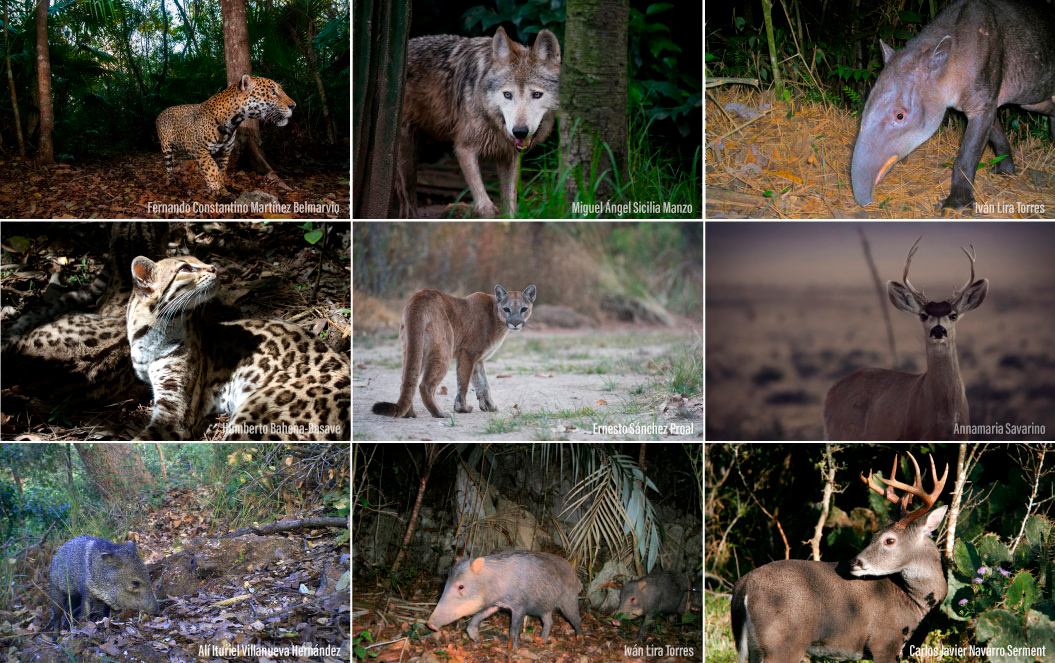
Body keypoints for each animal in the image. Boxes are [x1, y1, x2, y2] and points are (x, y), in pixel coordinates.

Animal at [398, 27, 561, 217]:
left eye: (536, 94)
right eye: (507, 95)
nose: (519, 131)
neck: (492, 119)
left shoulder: (508, 156)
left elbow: (511, 205)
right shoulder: (464, 148)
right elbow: (485, 205)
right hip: (408, 156)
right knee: (408, 197)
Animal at [730, 449, 953, 663]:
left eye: (889, 540)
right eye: (875, 535)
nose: (854, 562)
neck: (913, 602)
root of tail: (743, 586)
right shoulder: (885, 641)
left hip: (757, 647)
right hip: (782, 642)